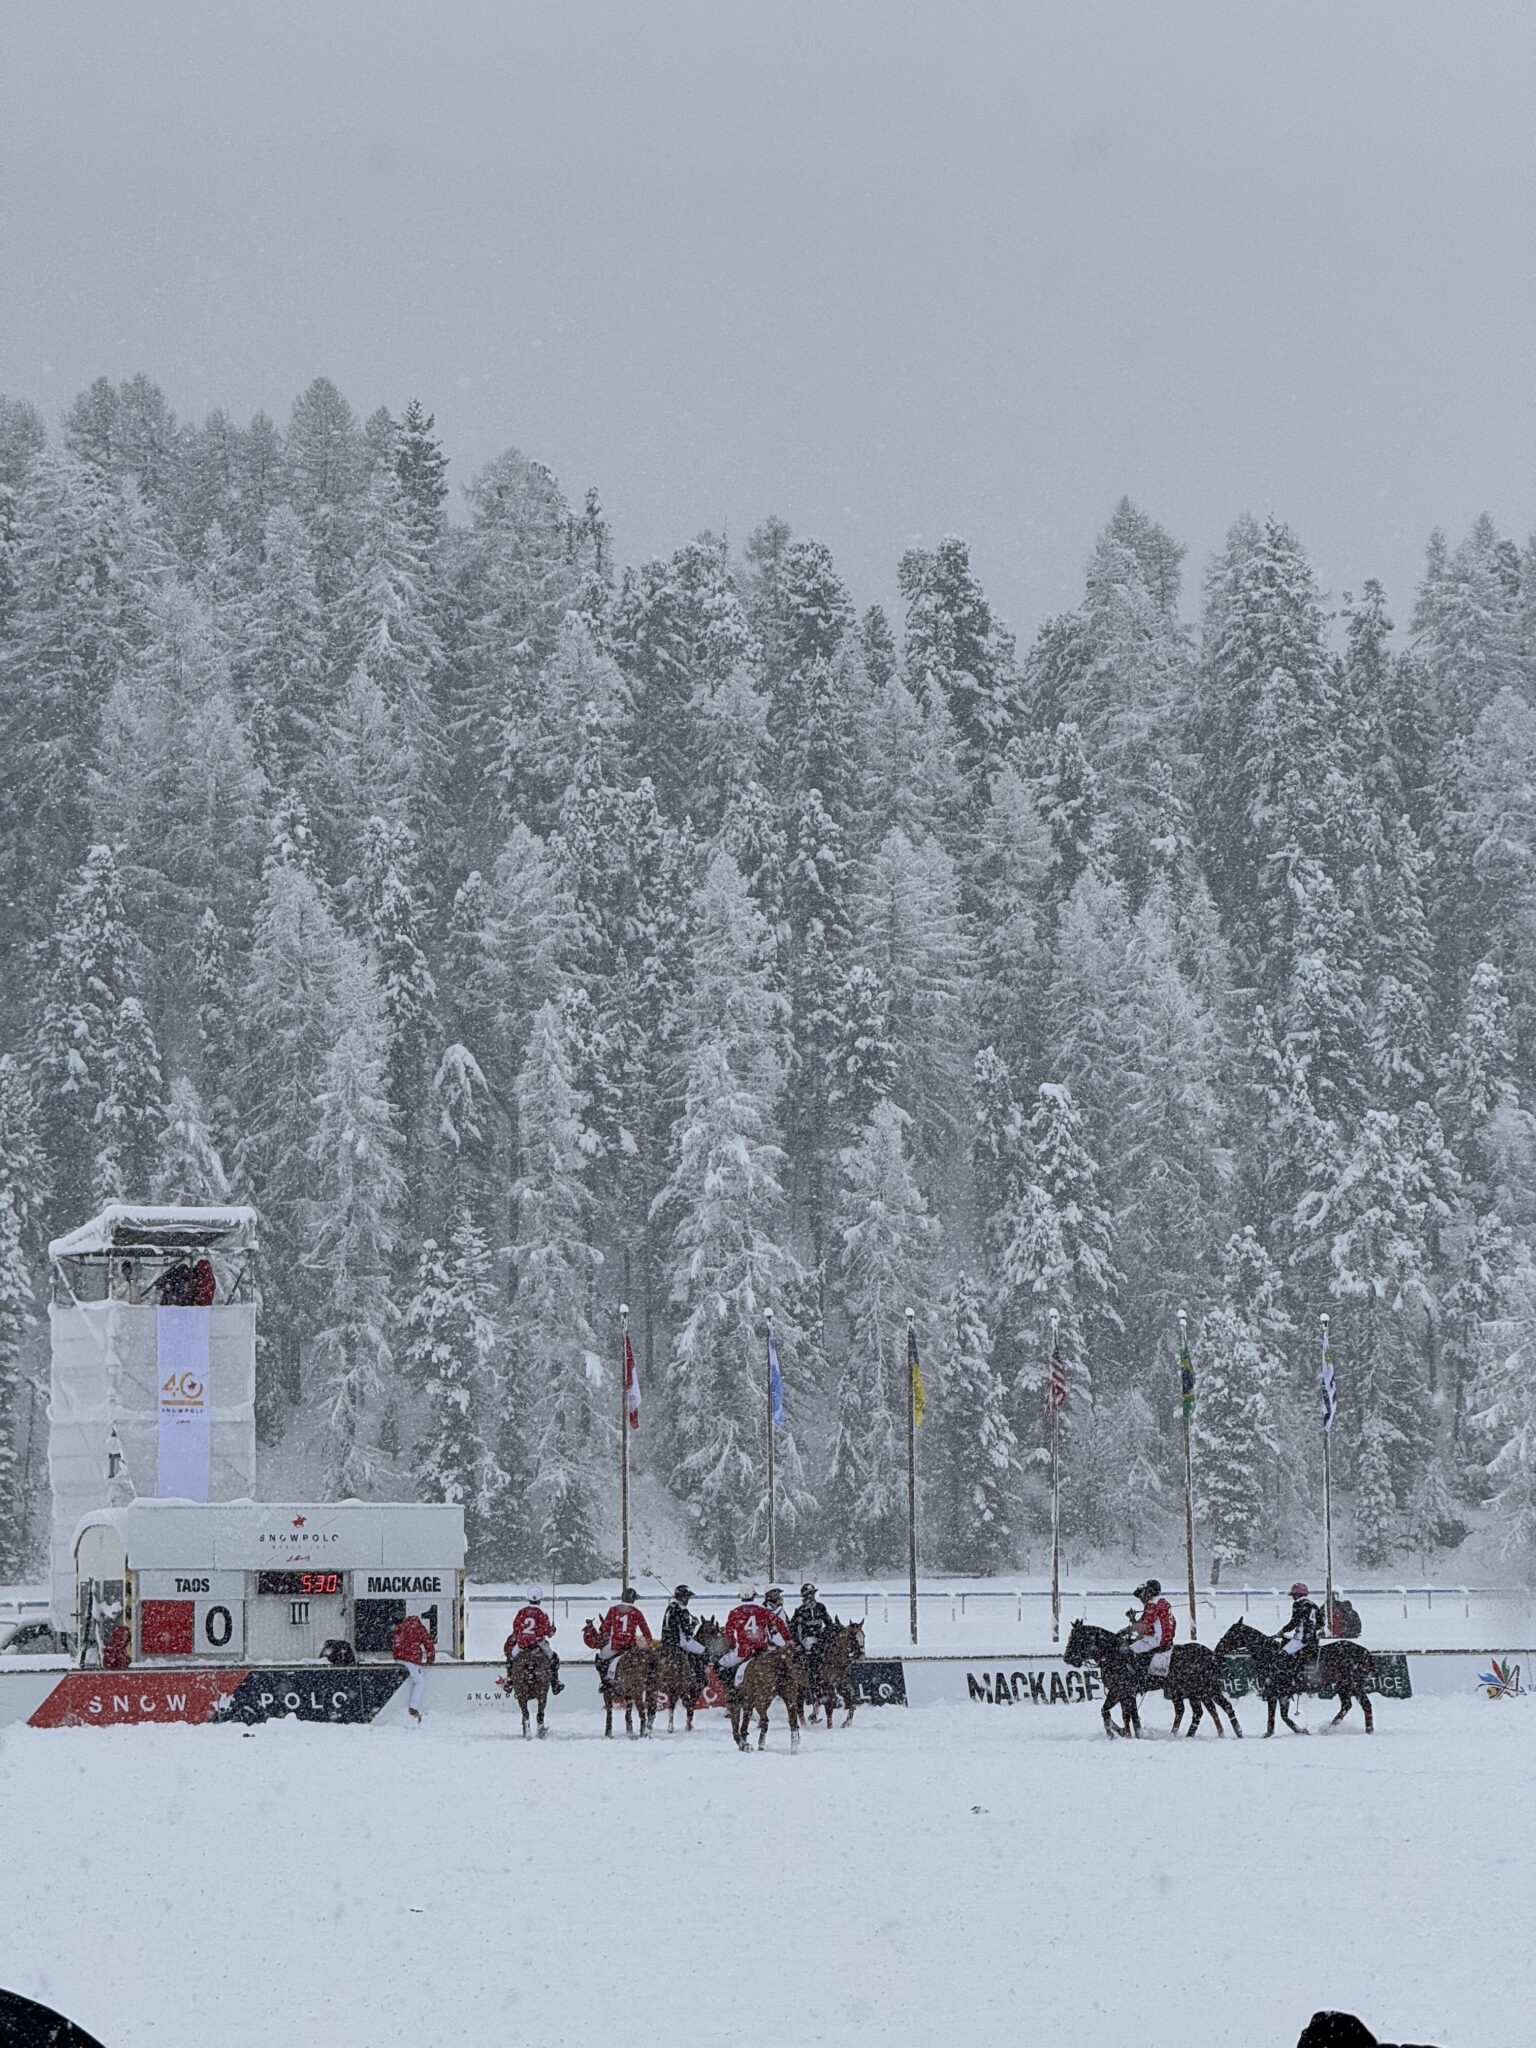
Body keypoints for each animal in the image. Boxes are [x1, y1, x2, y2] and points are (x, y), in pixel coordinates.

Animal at [1073, 1622, 1253, 1736]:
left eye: (1076, 1639)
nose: (1068, 1656)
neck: (1114, 1653)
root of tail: (1212, 1655)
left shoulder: (1121, 1690)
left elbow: (1125, 1714)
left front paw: (1125, 1733)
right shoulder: (1124, 1692)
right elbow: (1127, 1714)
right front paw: (1125, 1732)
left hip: (1201, 1689)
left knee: (1207, 1709)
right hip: (1197, 1691)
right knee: (1205, 1710)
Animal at [1212, 1622, 1384, 1736]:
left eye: (1231, 1634)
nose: (1217, 1649)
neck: (1269, 1655)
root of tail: (1365, 1652)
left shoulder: (1274, 1691)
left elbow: (1273, 1716)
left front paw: (1268, 1734)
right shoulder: (1284, 1693)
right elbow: (1284, 1716)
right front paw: (1302, 1730)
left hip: (1352, 1683)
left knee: (1364, 1704)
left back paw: (1367, 1730)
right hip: (1344, 1685)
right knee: (1347, 1706)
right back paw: (1329, 1728)